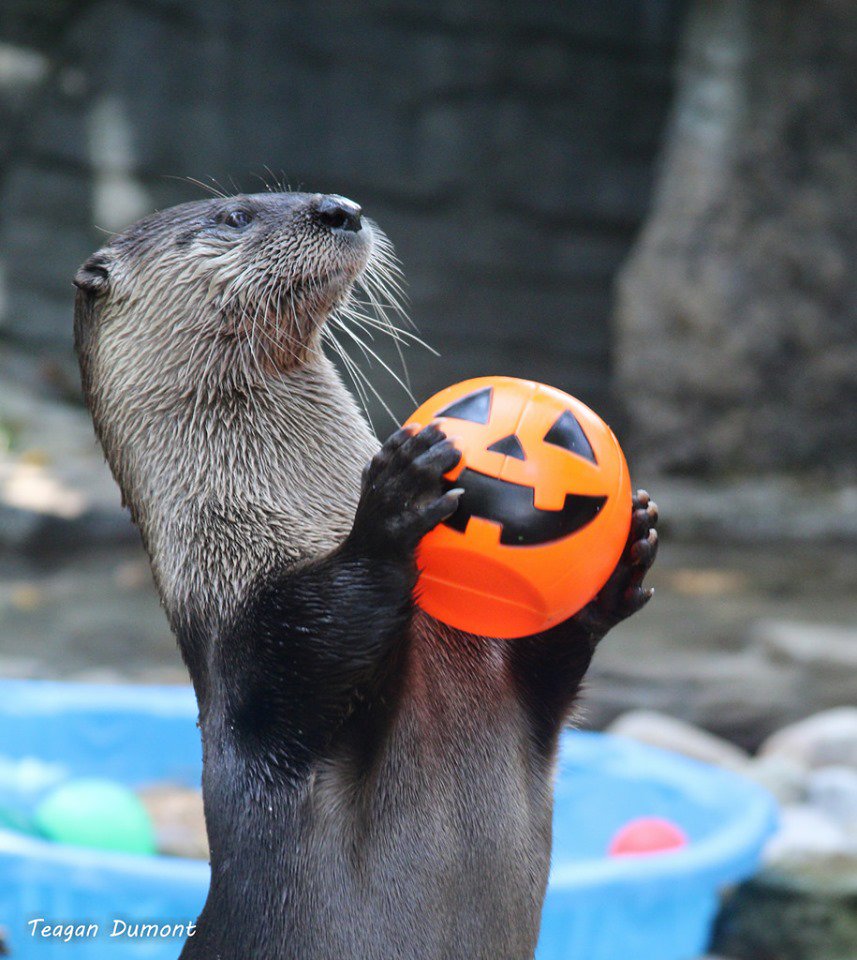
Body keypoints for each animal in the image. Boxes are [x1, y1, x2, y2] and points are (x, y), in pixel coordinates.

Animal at [73, 191, 658, 960]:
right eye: (234, 216)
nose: (338, 208)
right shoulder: (249, 649)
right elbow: (307, 653)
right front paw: (392, 501)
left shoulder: (526, 706)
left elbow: (552, 667)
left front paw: (621, 557)